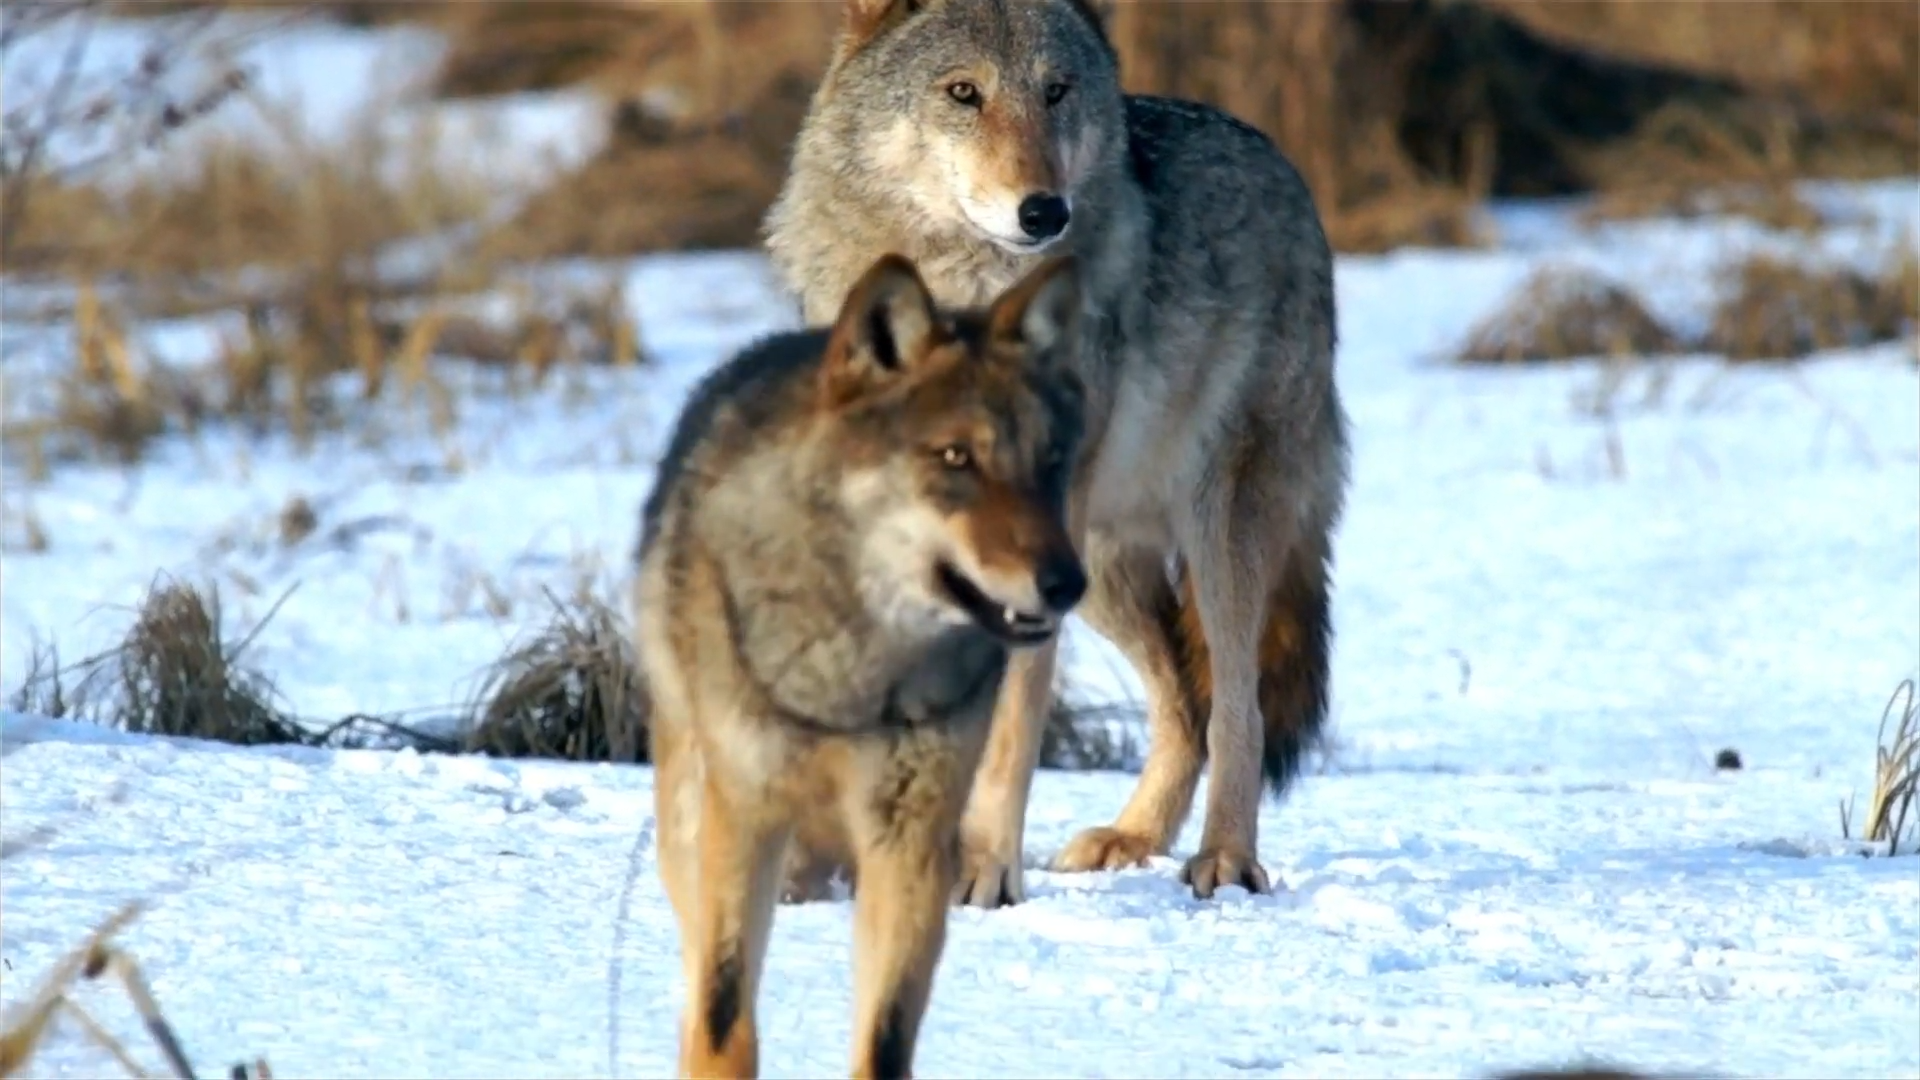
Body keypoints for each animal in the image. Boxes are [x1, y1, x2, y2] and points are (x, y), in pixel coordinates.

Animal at [632, 252, 1088, 1079]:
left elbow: (884, 1038)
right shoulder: (744, 817)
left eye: (1050, 463)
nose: (1067, 584)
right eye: (956, 457)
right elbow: (724, 1017)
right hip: (691, 817)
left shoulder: (911, 839)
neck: (855, 668)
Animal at [763, 0, 1349, 909]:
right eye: (963, 93)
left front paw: (979, 870)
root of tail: (1285, 167)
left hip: (1214, 534)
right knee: (1182, 707)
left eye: (1056, 91)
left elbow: (1012, 718)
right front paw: (816, 876)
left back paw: (1225, 859)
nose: (1045, 211)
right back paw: (1131, 839)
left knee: (1235, 706)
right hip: (1101, 569)